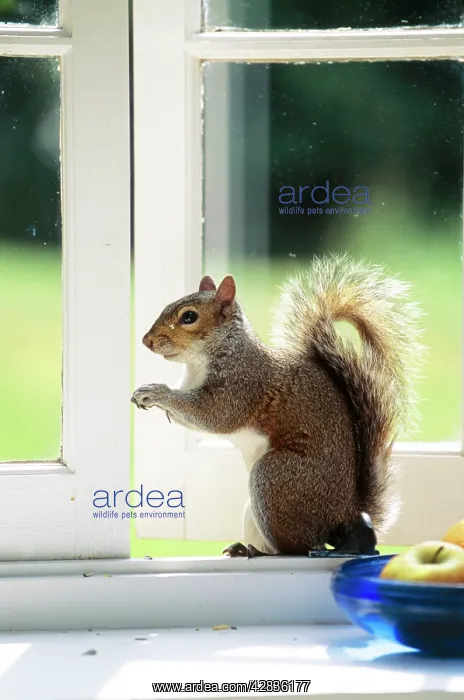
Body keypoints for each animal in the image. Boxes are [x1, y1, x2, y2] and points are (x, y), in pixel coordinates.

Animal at [131, 254, 423, 557]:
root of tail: (343, 516)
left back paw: (263, 552)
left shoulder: (242, 387)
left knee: (299, 547)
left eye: (189, 317)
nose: (146, 340)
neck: (202, 360)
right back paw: (243, 549)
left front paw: (158, 392)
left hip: (274, 479)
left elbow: (215, 416)